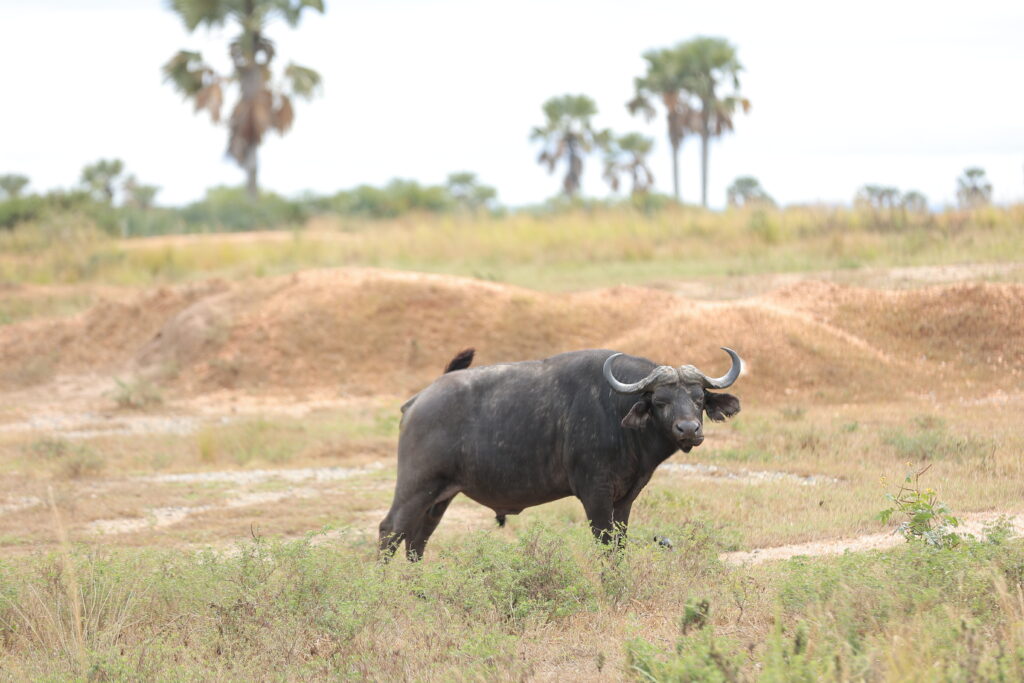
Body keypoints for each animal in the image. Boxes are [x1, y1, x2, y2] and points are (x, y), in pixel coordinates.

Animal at [379, 347, 742, 560]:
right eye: (661, 401)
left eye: (698, 398)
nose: (688, 429)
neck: (616, 412)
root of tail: (419, 400)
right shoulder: (595, 494)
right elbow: (606, 546)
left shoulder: (625, 499)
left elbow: (621, 545)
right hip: (416, 486)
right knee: (390, 531)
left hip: (440, 497)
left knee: (417, 541)